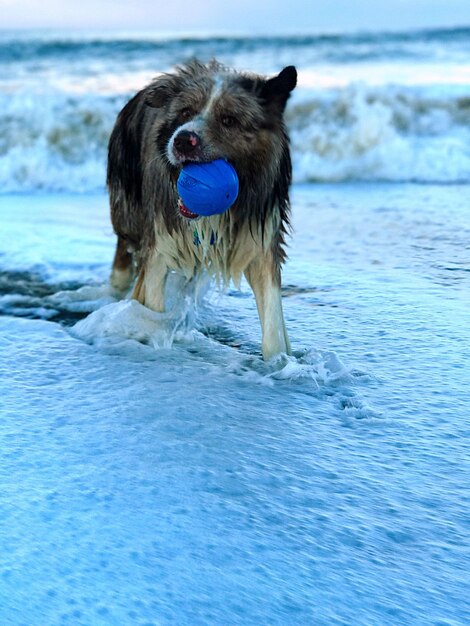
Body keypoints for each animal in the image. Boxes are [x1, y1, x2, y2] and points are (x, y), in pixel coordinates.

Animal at [107, 60, 298, 358]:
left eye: (229, 120)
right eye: (185, 112)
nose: (183, 140)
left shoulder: (260, 239)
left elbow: (273, 326)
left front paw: (280, 362)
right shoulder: (160, 244)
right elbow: (153, 305)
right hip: (127, 208)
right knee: (123, 248)